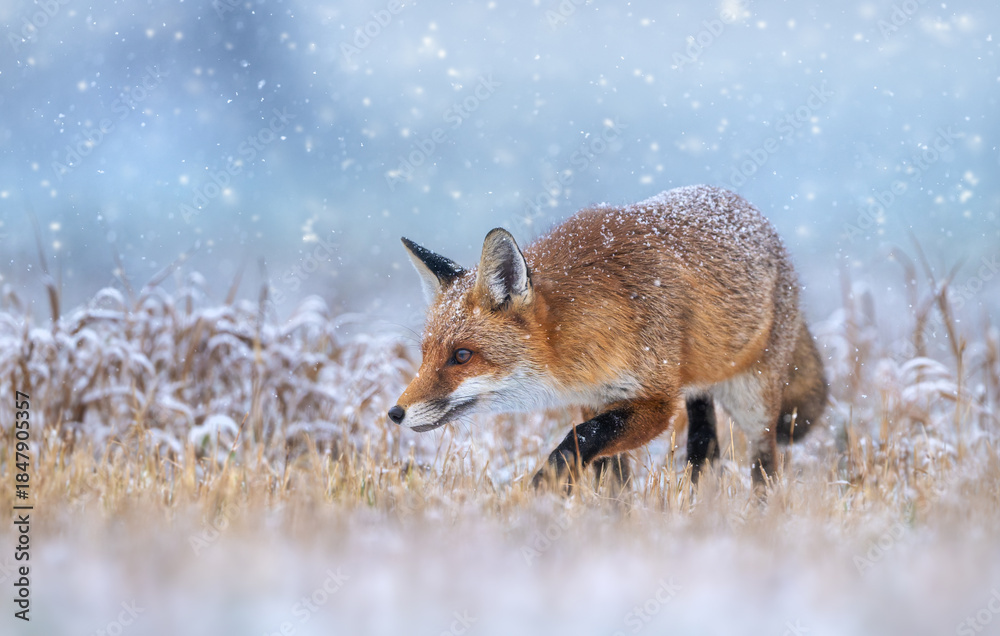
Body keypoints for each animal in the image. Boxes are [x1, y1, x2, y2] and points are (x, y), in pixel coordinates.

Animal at [388, 185, 828, 490]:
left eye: (462, 356)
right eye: (425, 353)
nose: (395, 413)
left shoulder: (656, 402)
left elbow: (578, 439)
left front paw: (542, 489)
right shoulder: (597, 400)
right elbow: (612, 479)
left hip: (752, 400)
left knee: (765, 465)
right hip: (699, 388)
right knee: (706, 447)